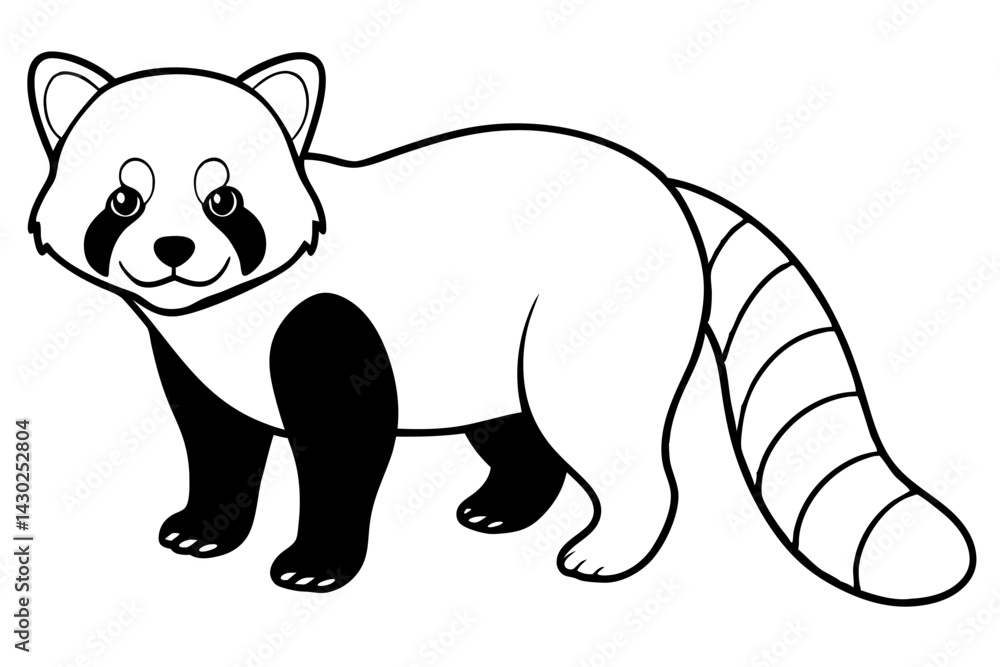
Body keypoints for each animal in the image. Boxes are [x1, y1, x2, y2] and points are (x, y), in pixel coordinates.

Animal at [27, 52, 974, 604]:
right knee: (513, 430)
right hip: (494, 342)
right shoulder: (193, 354)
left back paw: (606, 549)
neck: (226, 312)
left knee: (599, 430)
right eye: (124, 198)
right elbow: (218, 438)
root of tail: (667, 186)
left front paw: (315, 561)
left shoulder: (330, 327)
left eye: (224, 199)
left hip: (585, 314)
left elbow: (342, 444)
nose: (175, 249)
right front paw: (204, 527)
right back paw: (502, 504)